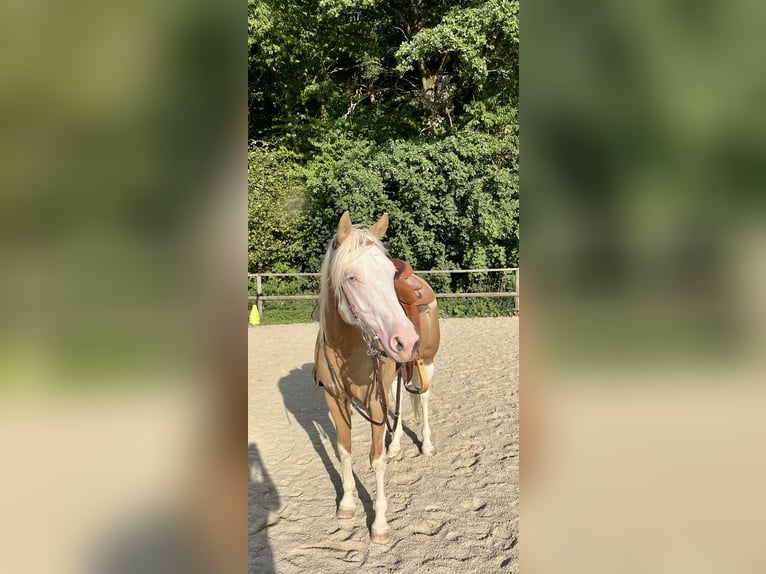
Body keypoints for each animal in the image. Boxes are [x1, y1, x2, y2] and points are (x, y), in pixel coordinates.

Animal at [312, 211, 441, 544]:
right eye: (351, 277)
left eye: (387, 274)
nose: (406, 340)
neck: (347, 347)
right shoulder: (335, 399)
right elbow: (344, 451)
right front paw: (346, 504)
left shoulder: (373, 403)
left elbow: (375, 459)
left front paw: (380, 524)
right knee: (399, 401)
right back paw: (395, 446)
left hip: (427, 363)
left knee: (423, 399)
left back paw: (426, 445)